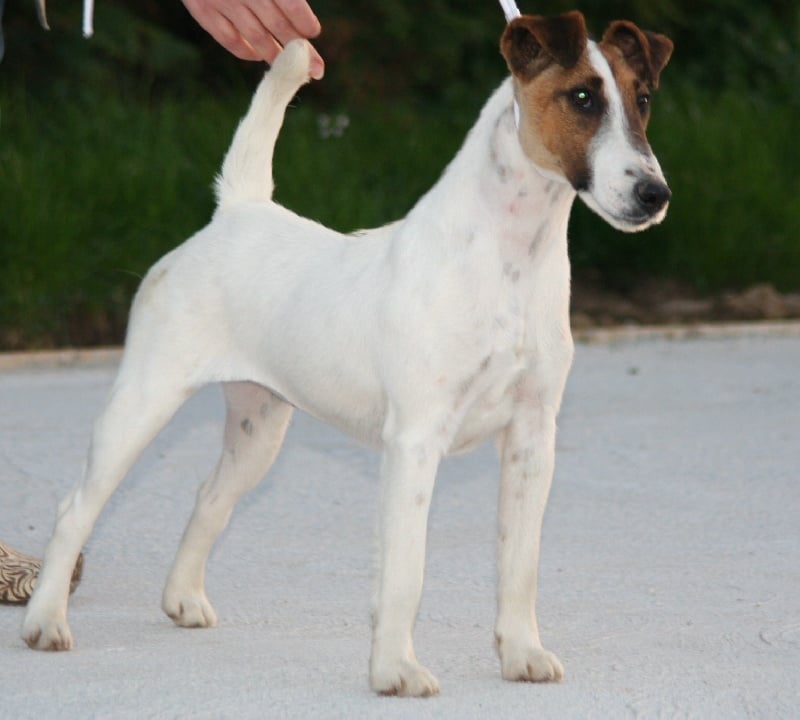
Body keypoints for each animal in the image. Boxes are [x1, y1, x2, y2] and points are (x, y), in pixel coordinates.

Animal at [21, 11, 668, 696]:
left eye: (643, 100)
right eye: (582, 98)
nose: (655, 194)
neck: (509, 263)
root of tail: (236, 212)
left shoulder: (531, 438)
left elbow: (519, 565)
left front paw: (522, 654)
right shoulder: (415, 443)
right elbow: (405, 573)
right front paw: (395, 670)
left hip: (259, 429)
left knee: (209, 497)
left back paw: (183, 600)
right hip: (144, 402)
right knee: (75, 509)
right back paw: (45, 621)